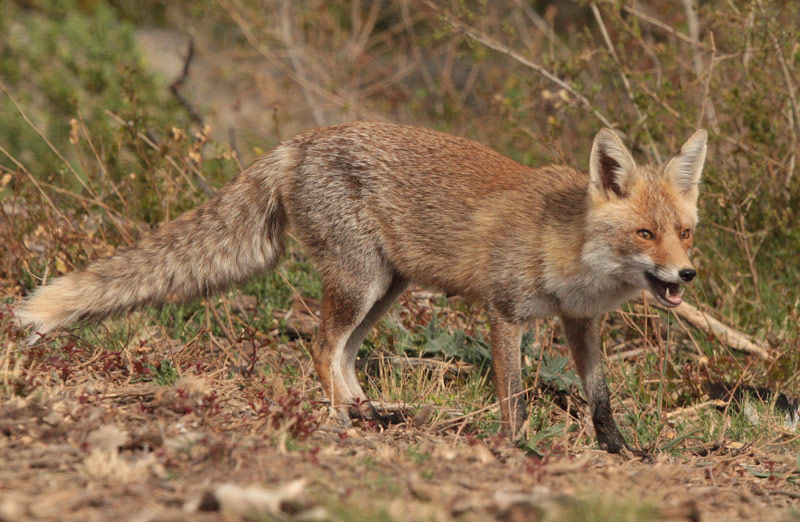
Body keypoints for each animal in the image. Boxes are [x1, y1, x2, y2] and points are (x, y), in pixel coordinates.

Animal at [15, 121, 708, 450]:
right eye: (645, 233)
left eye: (685, 233)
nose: (686, 275)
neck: (568, 247)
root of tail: (300, 141)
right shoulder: (506, 314)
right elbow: (513, 397)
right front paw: (515, 448)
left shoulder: (580, 322)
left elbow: (600, 399)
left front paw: (621, 452)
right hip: (361, 282)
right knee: (322, 348)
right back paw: (343, 419)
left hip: (384, 289)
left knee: (343, 353)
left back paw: (367, 410)